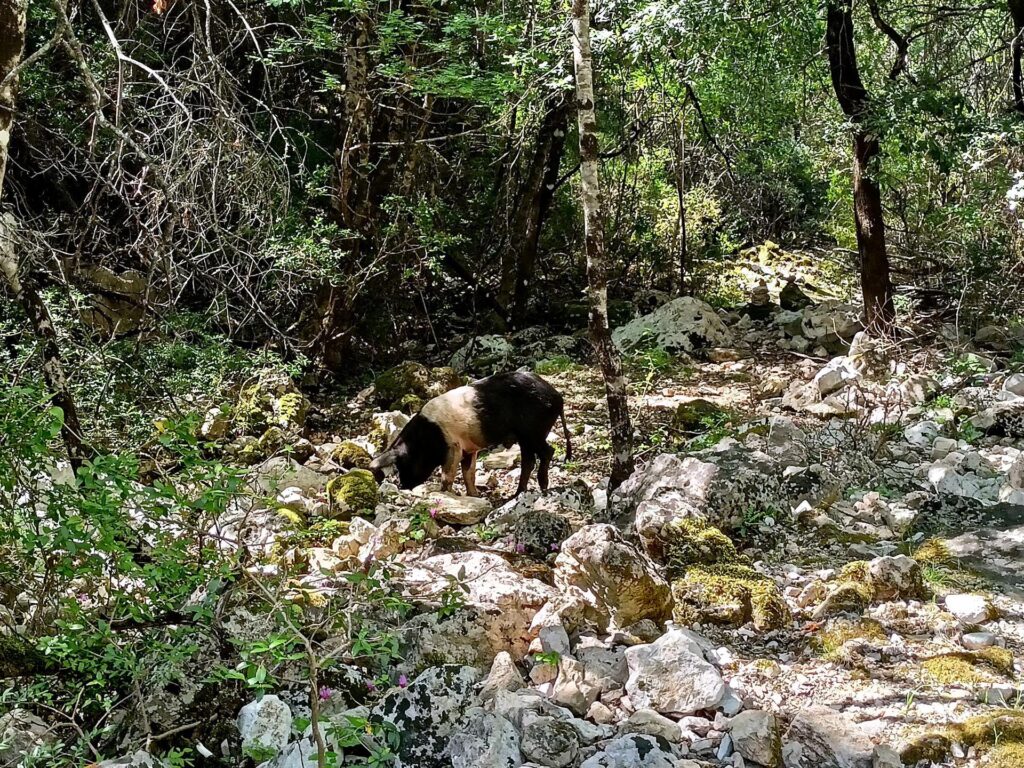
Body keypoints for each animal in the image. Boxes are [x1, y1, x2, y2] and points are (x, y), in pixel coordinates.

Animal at [366, 370, 569, 495]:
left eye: (403, 463)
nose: (404, 486)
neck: (425, 439)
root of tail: (557, 397)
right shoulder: (469, 449)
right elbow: (468, 474)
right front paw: (474, 496)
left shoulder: (453, 447)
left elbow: (448, 476)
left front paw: (446, 494)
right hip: (525, 437)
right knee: (529, 461)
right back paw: (517, 494)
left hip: (533, 431)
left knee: (546, 452)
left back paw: (541, 487)